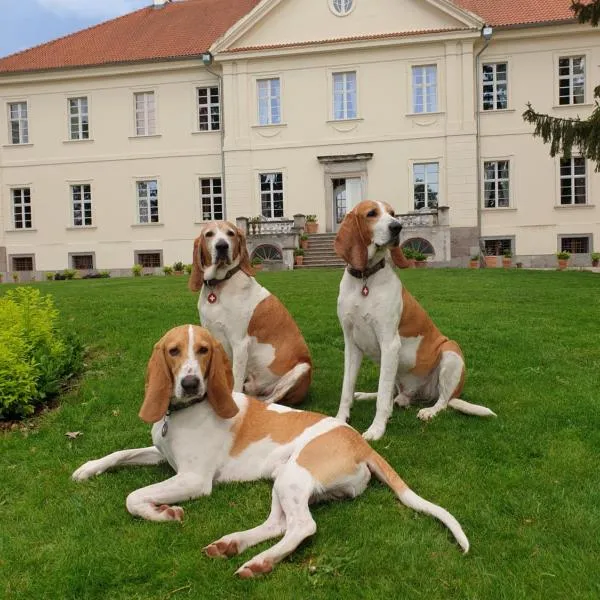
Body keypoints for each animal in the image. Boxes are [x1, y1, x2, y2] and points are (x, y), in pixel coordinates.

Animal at [74, 326, 468, 580]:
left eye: (203, 350)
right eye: (173, 351)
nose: (190, 383)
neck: (183, 412)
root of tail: (360, 442)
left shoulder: (193, 479)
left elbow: (133, 496)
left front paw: (163, 513)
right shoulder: (162, 456)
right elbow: (119, 454)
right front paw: (87, 469)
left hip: (294, 476)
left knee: (302, 526)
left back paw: (259, 562)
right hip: (285, 478)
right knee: (279, 523)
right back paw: (232, 544)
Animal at [189, 223, 312, 406]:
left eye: (230, 233)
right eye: (209, 234)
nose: (222, 246)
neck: (218, 288)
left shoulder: (240, 344)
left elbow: (235, 381)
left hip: (301, 369)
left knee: (271, 400)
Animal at [336, 202, 494, 440]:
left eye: (393, 213)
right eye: (372, 213)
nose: (397, 227)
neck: (365, 281)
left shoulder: (390, 344)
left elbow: (382, 399)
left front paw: (376, 429)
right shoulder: (351, 345)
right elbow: (347, 389)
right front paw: (338, 420)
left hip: (450, 352)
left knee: (442, 401)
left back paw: (429, 410)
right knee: (391, 392)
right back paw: (373, 395)